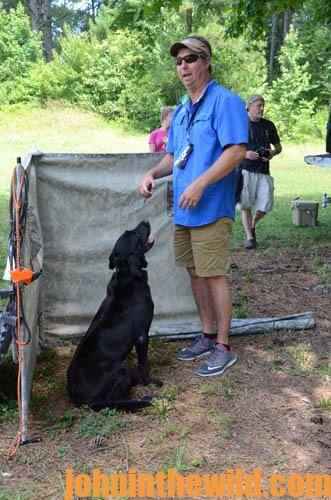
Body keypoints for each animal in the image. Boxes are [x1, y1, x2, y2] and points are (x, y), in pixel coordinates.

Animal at [67, 220, 163, 410]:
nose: (145, 221)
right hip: (120, 368)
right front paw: (151, 382)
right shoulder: (141, 335)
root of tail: (81, 399)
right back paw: (144, 398)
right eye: (135, 235)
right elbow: (144, 364)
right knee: (113, 402)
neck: (127, 272)